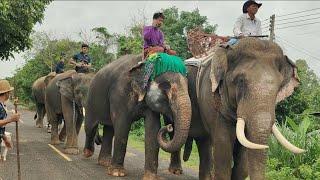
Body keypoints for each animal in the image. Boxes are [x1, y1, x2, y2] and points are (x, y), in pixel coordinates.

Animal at [168, 37, 304, 179]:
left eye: (279, 87)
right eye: (241, 81)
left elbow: (243, 157)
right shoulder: (213, 99)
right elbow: (223, 146)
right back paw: (176, 171)